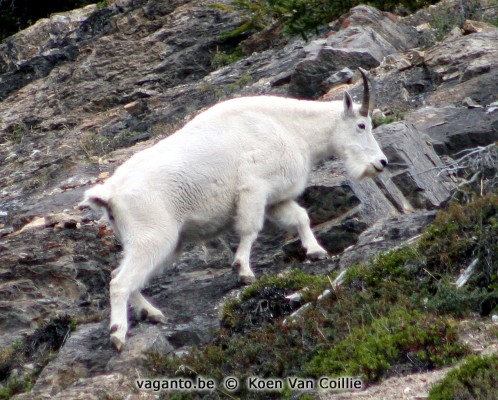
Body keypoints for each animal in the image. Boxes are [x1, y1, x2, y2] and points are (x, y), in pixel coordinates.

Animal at [80, 67, 388, 348]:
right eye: (362, 125)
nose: (381, 162)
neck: (291, 129)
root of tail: (110, 194)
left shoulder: (275, 199)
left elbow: (301, 217)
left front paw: (315, 251)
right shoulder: (254, 188)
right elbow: (250, 229)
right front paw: (243, 270)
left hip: (159, 242)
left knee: (123, 276)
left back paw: (152, 313)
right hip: (152, 234)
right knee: (120, 282)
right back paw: (118, 334)